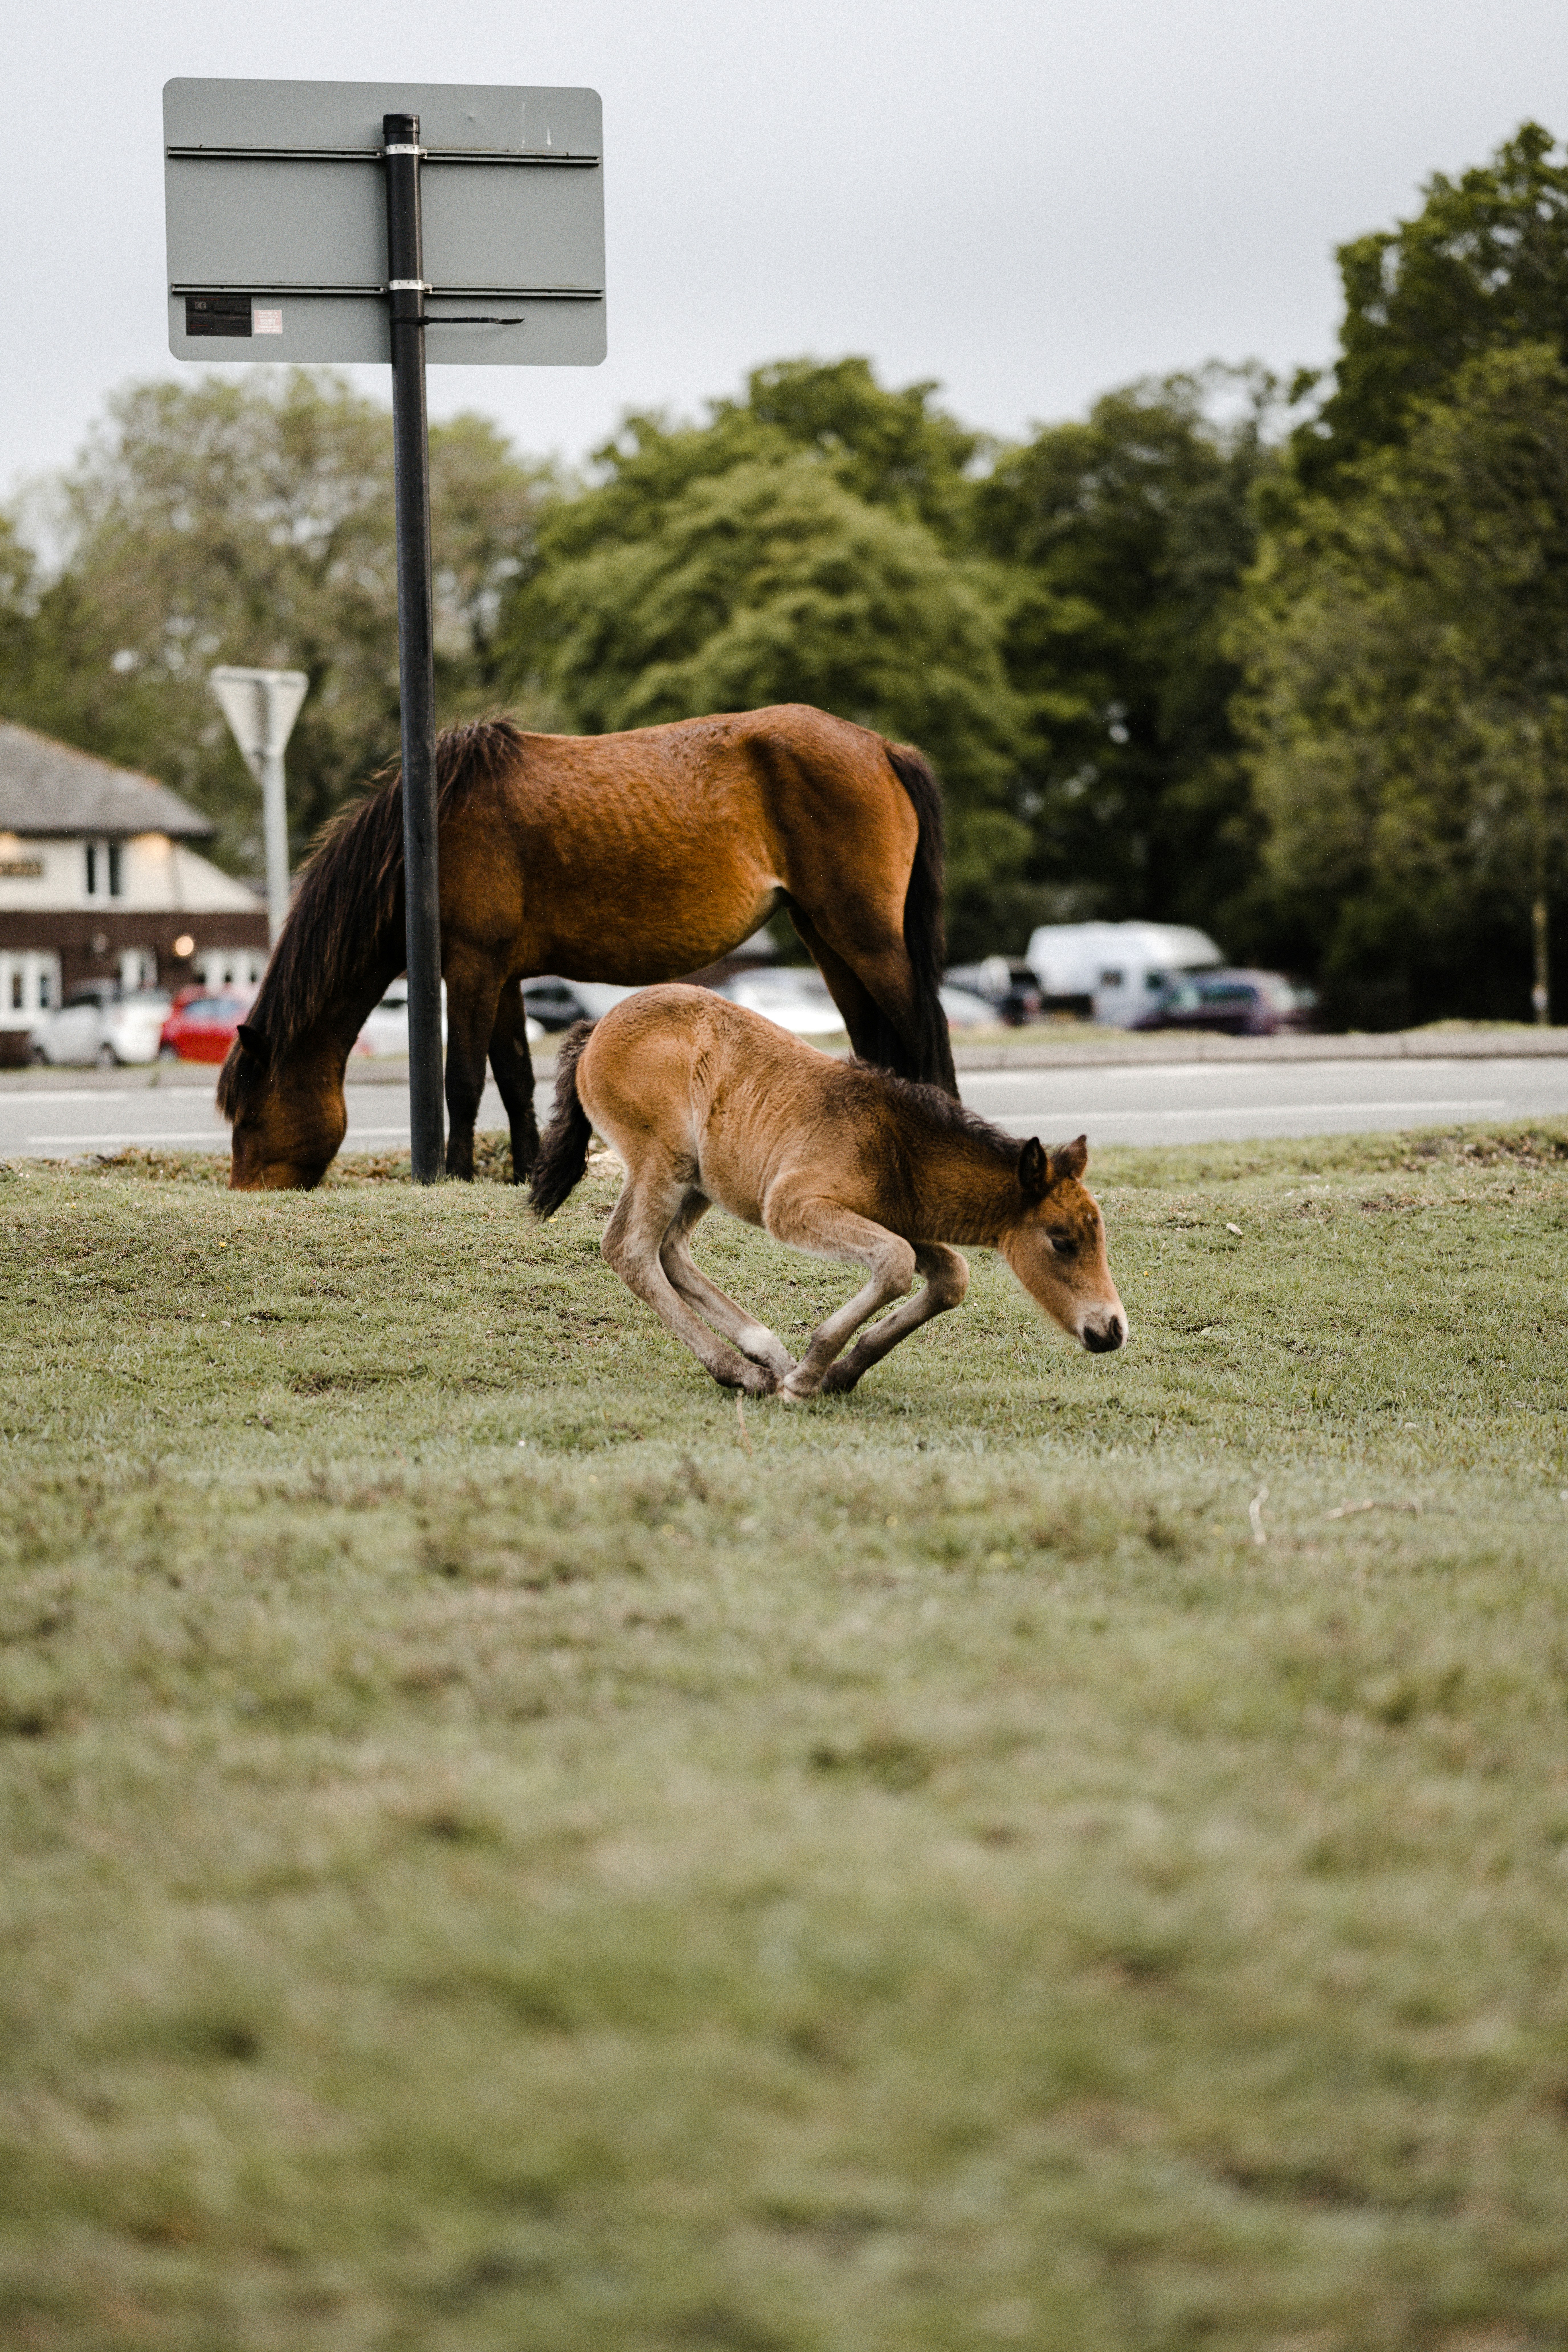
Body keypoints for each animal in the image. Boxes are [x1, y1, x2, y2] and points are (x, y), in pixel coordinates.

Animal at [217, 705, 957, 1191]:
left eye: (248, 1112)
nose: (247, 1191)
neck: (427, 834)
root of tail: (880, 747)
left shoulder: (472, 970)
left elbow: (463, 1078)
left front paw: (454, 1174)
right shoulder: (502, 977)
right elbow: (514, 1077)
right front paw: (523, 1171)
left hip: (865, 935)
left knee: (924, 1031)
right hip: (827, 937)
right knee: (875, 1041)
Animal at [529, 985, 1126, 1399]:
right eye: (1062, 1241)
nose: (1112, 1331)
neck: (895, 1146)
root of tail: (595, 1028)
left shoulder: (894, 1217)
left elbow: (949, 1277)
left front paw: (839, 1373)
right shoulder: (793, 1207)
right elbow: (895, 1264)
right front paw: (809, 1375)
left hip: (700, 1179)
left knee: (669, 1250)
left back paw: (766, 1354)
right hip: (663, 1163)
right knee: (631, 1250)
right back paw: (744, 1373)